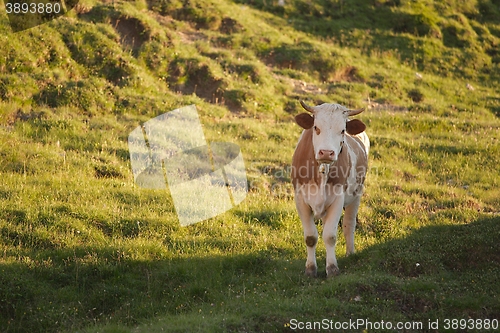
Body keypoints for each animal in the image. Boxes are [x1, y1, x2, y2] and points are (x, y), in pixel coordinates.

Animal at [292, 100, 370, 276]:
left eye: (342, 130)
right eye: (316, 127)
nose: (327, 153)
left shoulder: (338, 199)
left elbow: (330, 236)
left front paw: (332, 268)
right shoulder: (300, 199)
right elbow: (310, 237)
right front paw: (310, 269)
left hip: (357, 194)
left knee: (349, 224)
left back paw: (350, 253)